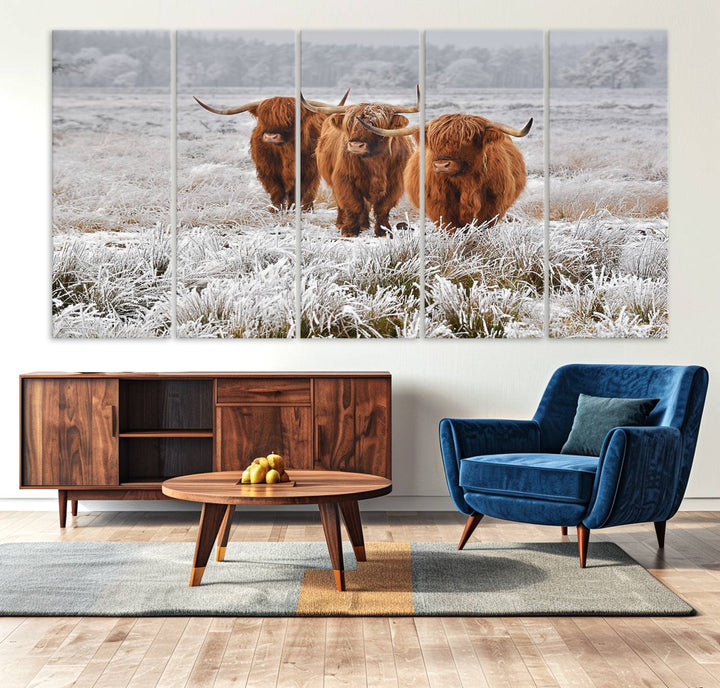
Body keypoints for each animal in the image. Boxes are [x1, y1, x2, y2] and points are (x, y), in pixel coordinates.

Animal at [191, 91, 348, 211]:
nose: (271, 136)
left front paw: (294, 209)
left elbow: (299, 192)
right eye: (264, 118)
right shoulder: (268, 171)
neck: (287, 153)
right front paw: (275, 210)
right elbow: (276, 192)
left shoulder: (308, 171)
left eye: (291, 118)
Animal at [302, 88, 422, 239]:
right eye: (350, 124)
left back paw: (365, 225)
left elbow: (383, 208)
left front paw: (384, 231)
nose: (355, 145)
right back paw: (342, 223)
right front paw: (349, 231)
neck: (375, 162)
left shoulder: (395, 184)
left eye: (376, 124)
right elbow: (353, 204)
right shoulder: (344, 180)